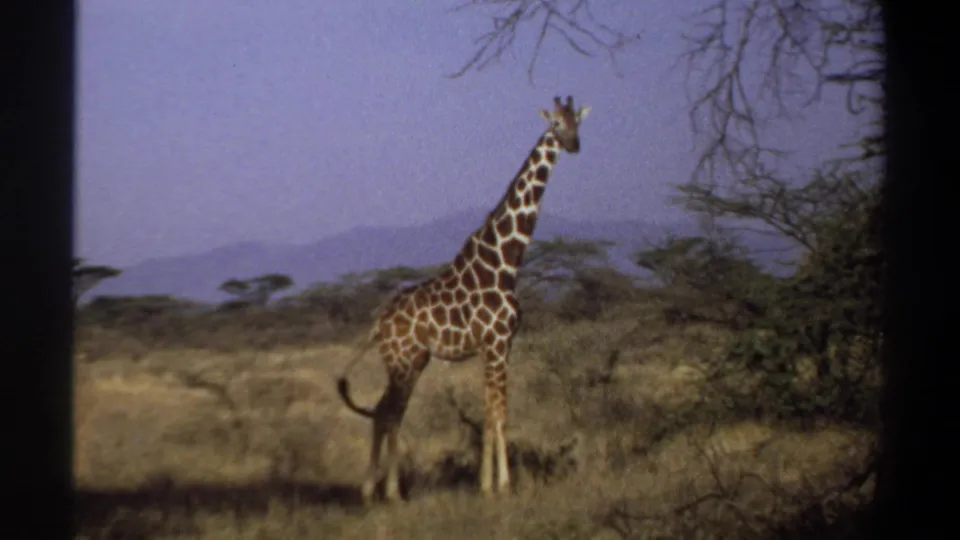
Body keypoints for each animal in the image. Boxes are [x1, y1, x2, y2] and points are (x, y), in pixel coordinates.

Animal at [337, 96, 591, 504]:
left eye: (576, 122)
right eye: (555, 124)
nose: (573, 145)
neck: (504, 265)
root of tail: (378, 324)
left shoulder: (498, 347)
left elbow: (490, 413)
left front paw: (486, 483)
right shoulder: (497, 343)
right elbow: (500, 413)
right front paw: (502, 484)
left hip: (412, 361)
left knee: (382, 411)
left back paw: (372, 491)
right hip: (404, 363)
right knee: (390, 413)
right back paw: (390, 492)